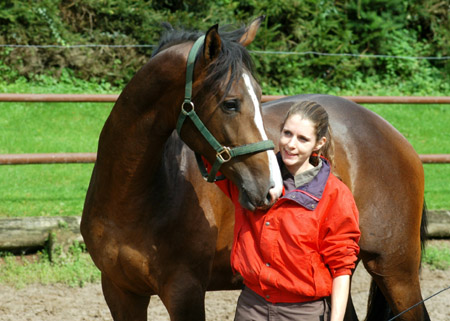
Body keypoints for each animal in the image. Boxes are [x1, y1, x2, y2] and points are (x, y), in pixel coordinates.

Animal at [82, 18, 430, 320]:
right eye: (230, 103)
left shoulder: (185, 291)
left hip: (395, 270)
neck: (133, 197)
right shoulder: (120, 292)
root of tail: (395, 135)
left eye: (260, 97)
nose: (272, 188)